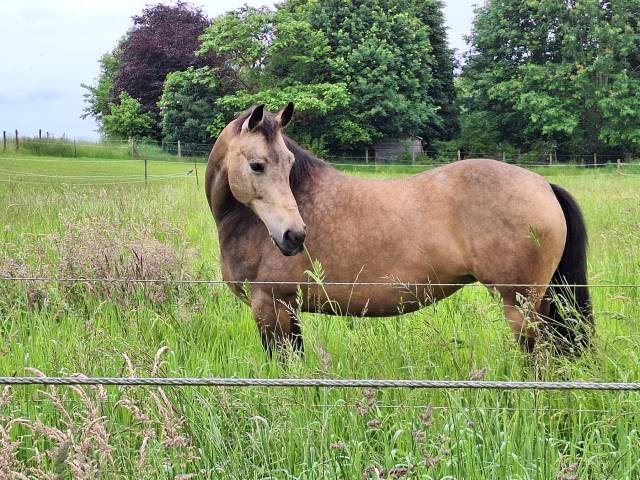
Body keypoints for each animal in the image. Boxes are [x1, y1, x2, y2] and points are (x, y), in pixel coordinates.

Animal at [205, 103, 592, 356]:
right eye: (257, 165)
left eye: (287, 165)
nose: (294, 236)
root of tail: (543, 185)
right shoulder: (288, 308)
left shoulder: (269, 307)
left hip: (521, 307)